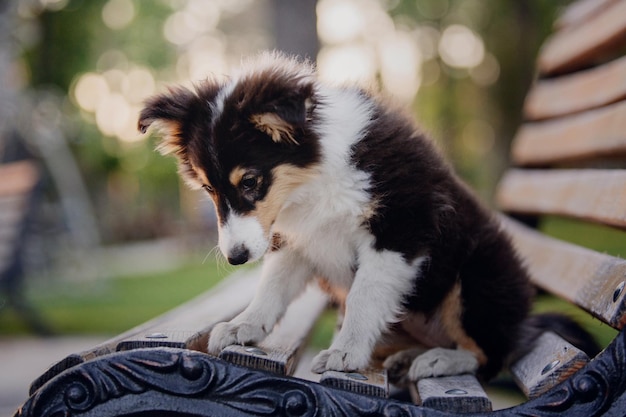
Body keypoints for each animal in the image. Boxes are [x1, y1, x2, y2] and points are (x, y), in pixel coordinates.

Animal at [138, 52, 596, 384]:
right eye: (208, 190)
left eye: (250, 182)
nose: (235, 258)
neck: (315, 178)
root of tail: (524, 324)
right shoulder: (297, 240)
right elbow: (272, 287)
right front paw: (244, 326)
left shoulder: (399, 230)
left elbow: (363, 296)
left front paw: (345, 352)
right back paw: (408, 356)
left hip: (476, 279)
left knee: (489, 355)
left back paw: (440, 361)